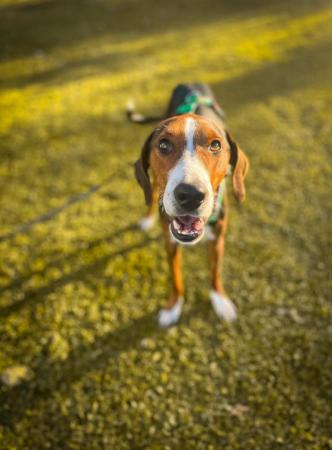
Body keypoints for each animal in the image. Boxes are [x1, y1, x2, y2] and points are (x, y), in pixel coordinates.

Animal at [127, 82, 249, 326]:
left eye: (216, 145)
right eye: (164, 145)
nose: (191, 195)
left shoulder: (217, 239)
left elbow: (215, 272)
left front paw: (220, 300)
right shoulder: (170, 243)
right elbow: (175, 278)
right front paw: (173, 307)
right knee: (152, 193)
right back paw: (147, 219)